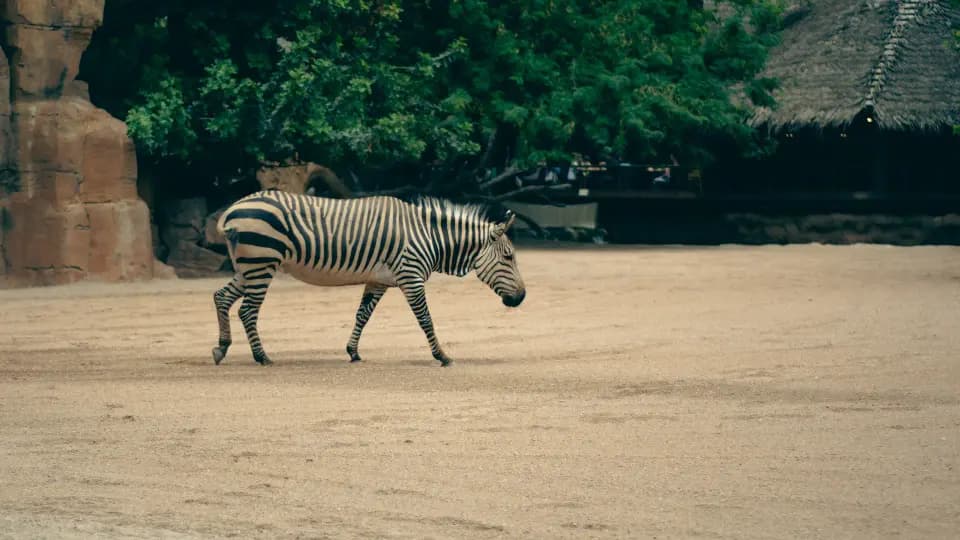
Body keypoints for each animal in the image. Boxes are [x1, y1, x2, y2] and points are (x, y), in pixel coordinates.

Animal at [211, 189, 526, 367]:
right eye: (509, 257)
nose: (522, 297)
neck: (430, 237)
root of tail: (232, 210)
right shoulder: (411, 277)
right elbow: (426, 319)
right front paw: (442, 356)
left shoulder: (379, 280)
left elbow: (362, 315)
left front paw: (352, 351)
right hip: (261, 263)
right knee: (248, 311)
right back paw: (261, 357)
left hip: (249, 267)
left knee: (222, 297)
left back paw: (222, 348)